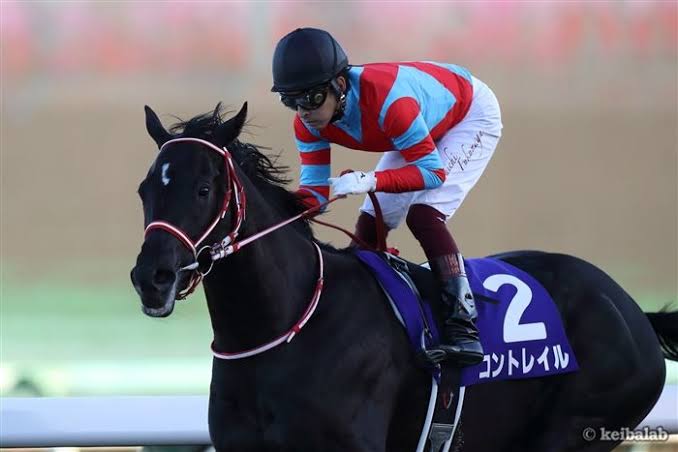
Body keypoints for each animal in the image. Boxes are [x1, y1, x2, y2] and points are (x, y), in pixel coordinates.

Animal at [131, 102, 677, 452]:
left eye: (203, 189)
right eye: (144, 190)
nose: (150, 277)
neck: (286, 328)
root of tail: (631, 309)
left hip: (577, 426)